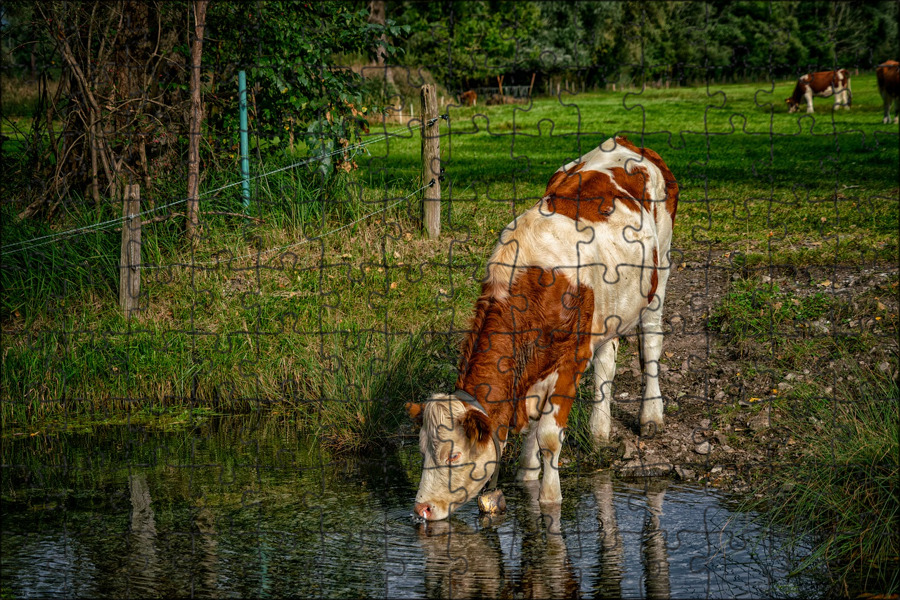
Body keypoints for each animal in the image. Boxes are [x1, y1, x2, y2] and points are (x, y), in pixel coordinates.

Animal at [406, 137, 676, 520]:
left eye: (454, 454)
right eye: (422, 452)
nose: (423, 508)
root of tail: (623, 141)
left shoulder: (569, 362)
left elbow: (549, 436)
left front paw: (549, 496)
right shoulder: (535, 369)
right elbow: (532, 426)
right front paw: (527, 471)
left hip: (661, 268)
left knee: (651, 341)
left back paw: (651, 416)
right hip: (608, 311)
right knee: (607, 362)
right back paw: (599, 431)